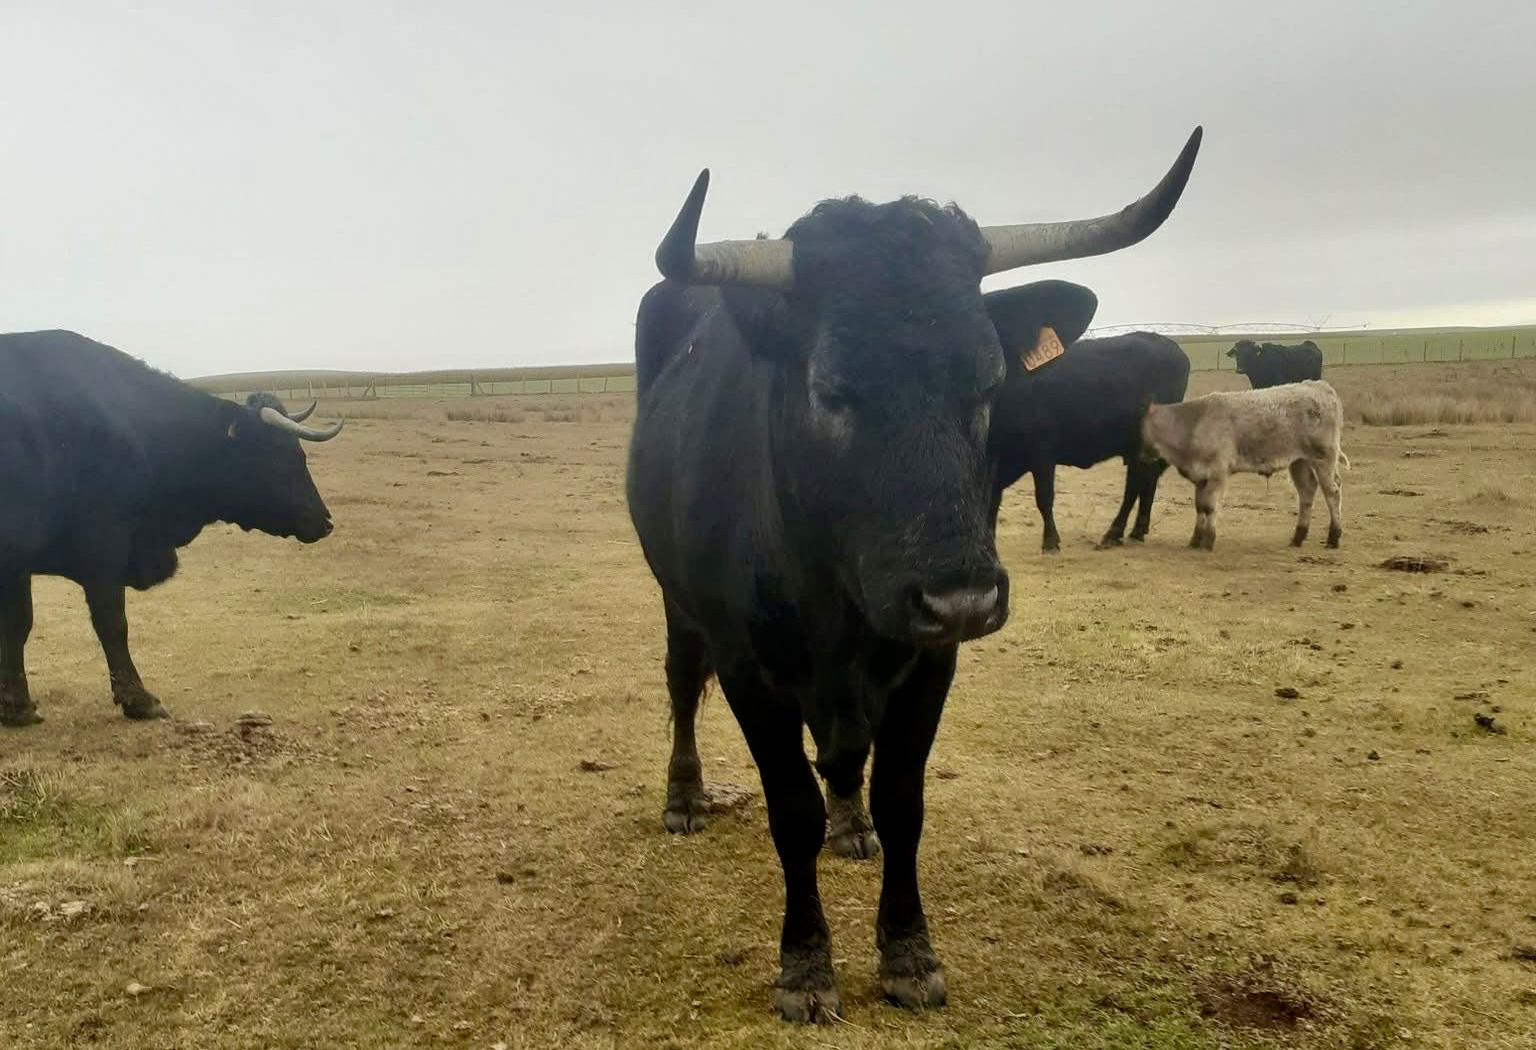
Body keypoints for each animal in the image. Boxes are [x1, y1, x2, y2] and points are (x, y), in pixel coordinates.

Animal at [0, 330, 344, 727]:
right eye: (289, 456)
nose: (325, 520)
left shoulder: (16, 565)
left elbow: (17, 626)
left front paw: (16, 706)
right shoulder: (103, 552)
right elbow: (111, 625)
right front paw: (138, 699)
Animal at [989, 331, 1190, 551]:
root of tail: (1170, 346)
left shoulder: (1041, 453)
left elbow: (1044, 497)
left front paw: (1050, 541)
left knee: (1135, 485)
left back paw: (1114, 533)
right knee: (1147, 480)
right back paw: (1137, 531)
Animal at [1138, 379, 1348, 552]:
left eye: (1139, 426)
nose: (1141, 455)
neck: (1194, 423)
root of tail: (1319, 386)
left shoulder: (1217, 472)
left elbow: (1209, 506)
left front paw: (1208, 541)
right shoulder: (1201, 477)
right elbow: (1200, 507)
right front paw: (1195, 540)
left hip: (1323, 458)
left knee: (1332, 493)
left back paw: (1333, 537)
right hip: (1299, 461)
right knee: (1306, 492)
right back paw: (1298, 537)